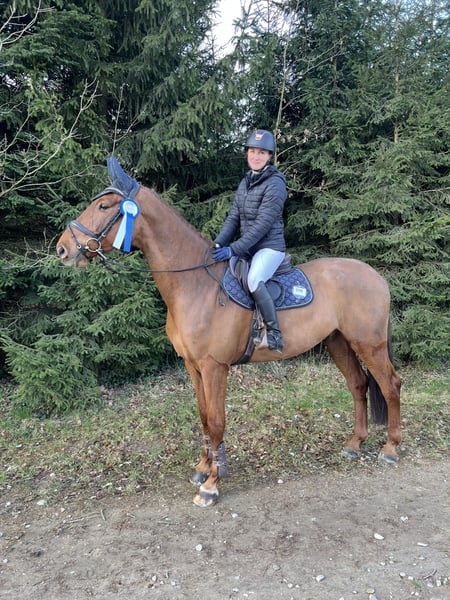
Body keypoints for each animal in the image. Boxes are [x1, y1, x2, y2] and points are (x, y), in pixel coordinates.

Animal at [56, 157, 402, 507]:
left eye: (103, 206)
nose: (63, 249)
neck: (195, 285)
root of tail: (376, 276)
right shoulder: (193, 366)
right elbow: (204, 417)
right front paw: (203, 468)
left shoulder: (214, 367)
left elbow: (217, 421)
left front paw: (212, 484)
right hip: (339, 342)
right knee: (358, 385)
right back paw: (354, 444)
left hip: (369, 344)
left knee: (390, 385)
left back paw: (390, 448)